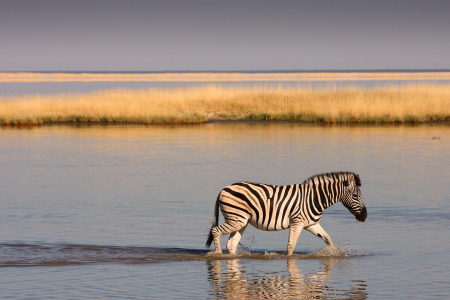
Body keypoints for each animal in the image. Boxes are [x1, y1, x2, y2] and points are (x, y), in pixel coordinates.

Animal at [206, 172, 368, 254]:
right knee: (215, 231)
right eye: (355, 196)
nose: (365, 216)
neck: (315, 198)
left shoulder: (311, 224)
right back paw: (218, 255)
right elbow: (291, 246)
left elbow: (328, 239)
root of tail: (224, 188)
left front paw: (333, 254)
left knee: (231, 244)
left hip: (241, 222)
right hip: (236, 220)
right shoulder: (297, 222)